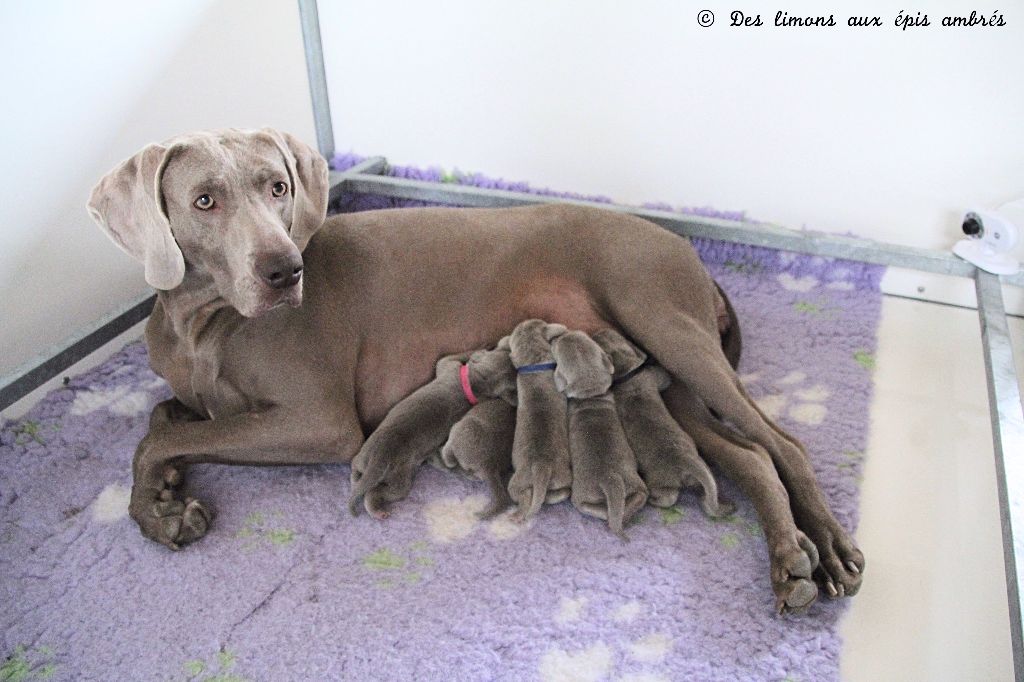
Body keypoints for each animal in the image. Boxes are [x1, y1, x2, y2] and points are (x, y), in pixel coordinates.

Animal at [348, 346, 516, 516]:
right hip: (365, 456)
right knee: (355, 470)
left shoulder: (448, 366)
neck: (475, 382)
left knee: (375, 492)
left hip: (398, 479)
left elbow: (445, 359)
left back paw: (376, 510)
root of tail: (380, 457)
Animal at [552, 327, 647, 536]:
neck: (592, 394)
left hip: (581, 496)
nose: (558, 336)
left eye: (558, 345)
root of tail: (610, 480)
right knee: (638, 497)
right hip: (635, 485)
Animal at [593, 327, 737, 516]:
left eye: (605, 335)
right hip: (673, 478)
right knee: (675, 496)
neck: (627, 375)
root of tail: (685, 461)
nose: (597, 330)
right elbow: (665, 378)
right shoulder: (652, 378)